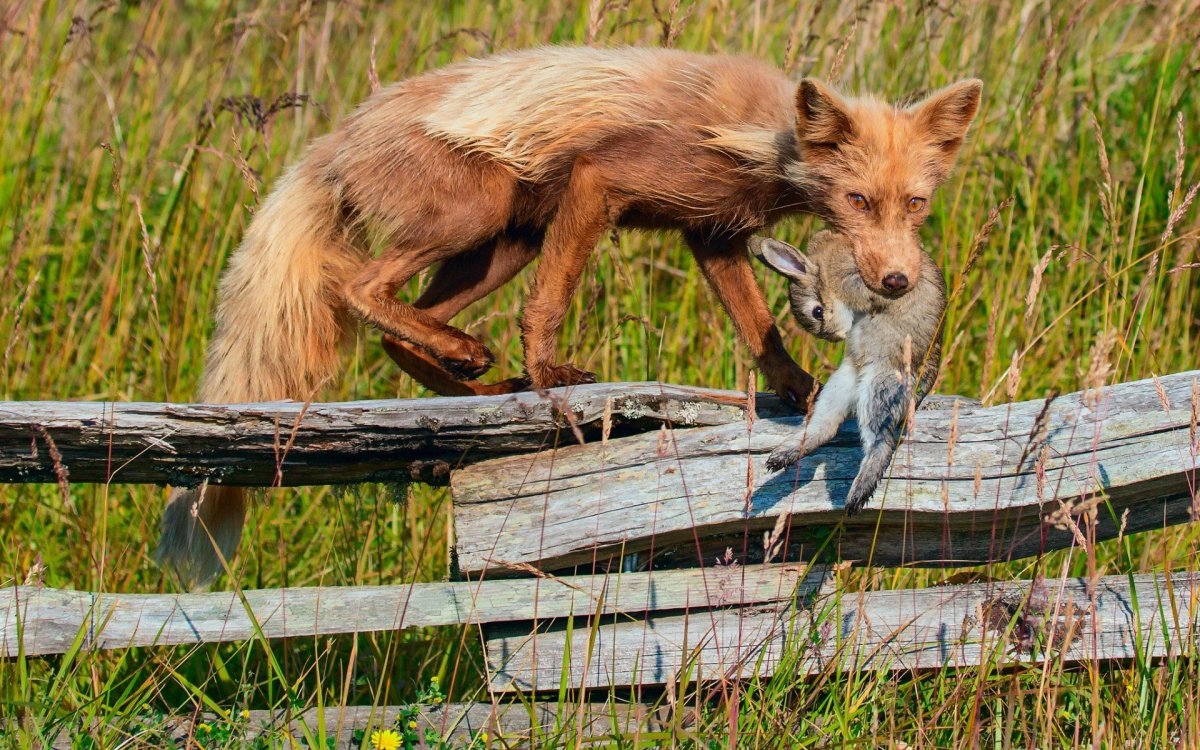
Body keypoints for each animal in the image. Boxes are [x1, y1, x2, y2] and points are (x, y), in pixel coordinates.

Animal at [751, 230, 946, 514]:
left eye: (817, 311)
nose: (835, 336)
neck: (825, 270)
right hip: (842, 384)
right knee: (825, 427)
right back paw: (781, 457)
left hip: (880, 386)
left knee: (881, 442)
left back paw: (857, 495)